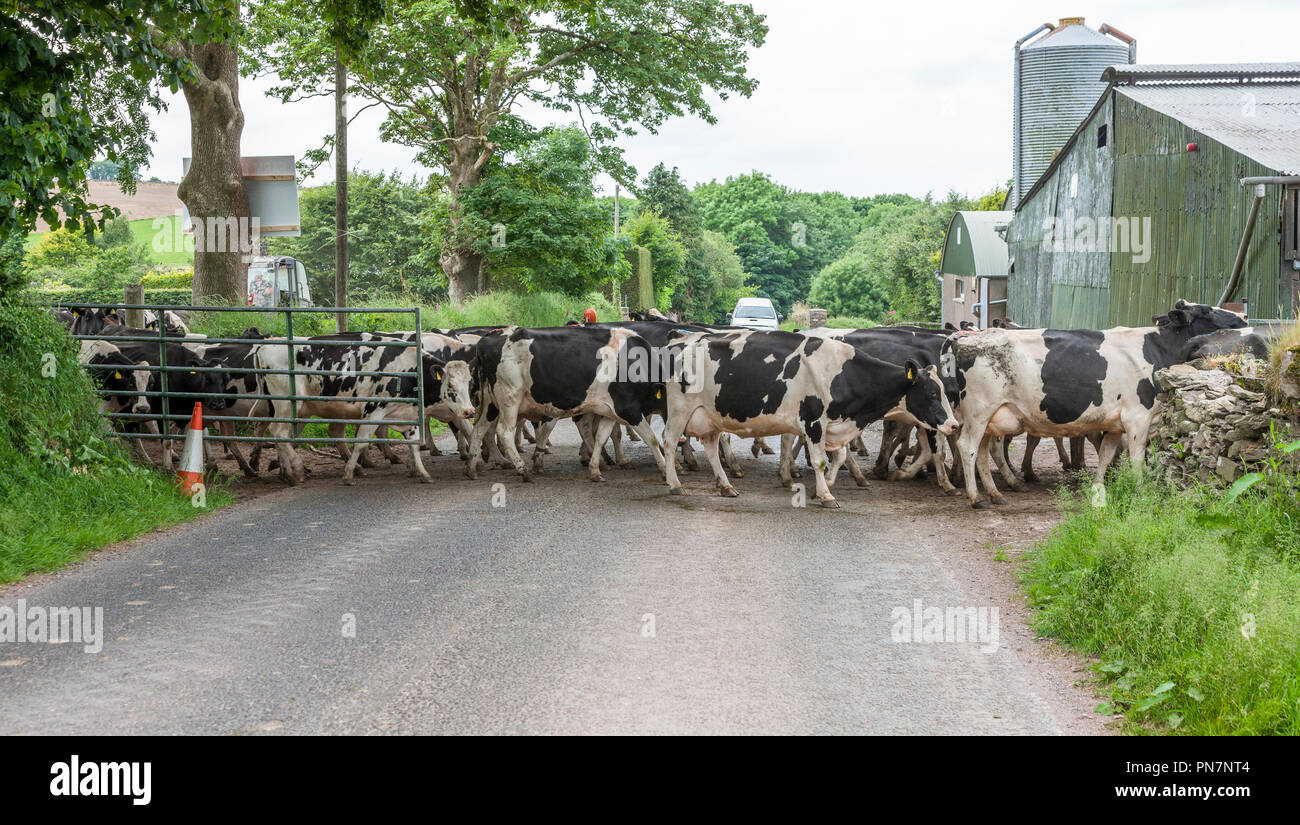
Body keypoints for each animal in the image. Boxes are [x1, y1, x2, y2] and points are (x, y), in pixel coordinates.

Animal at [660, 332, 956, 506]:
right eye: (932, 394)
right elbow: (820, 460)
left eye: (943, 392)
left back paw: (726, 486)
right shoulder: (813, 422)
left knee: (711, 449)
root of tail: (685, 345)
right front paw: (825, 495)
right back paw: (675, 484)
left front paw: (823, 487)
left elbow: (839, 456)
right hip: (679, 410)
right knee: (669, 441)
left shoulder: (835, 425)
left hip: (708, 415)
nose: (953, 425)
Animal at [946, 300, 1248, 506]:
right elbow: (1136, 459)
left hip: (990, 419)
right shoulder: (1137, 418)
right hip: (979, 412)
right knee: (967, 447)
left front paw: (1098, 489)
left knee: (983, 452)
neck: (1158, 350)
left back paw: (995, 493)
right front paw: (1140, 491)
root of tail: (966, 340)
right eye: (1208, 311)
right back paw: (976, 497)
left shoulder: (1115, 424)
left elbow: (1105, 456)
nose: (1244, 318)